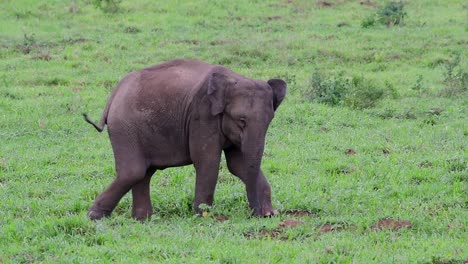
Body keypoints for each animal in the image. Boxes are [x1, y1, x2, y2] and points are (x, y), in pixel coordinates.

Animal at [84, 58, 288, 221]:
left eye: (270, 120)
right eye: (241, 120)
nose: (257, 213)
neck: (232, 79)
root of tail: (114, 93)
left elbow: (238, 165)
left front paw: (270, 213)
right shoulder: (202, 115)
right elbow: (208, 161)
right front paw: (203, 216)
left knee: (144, 172)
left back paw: (142, 219)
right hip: (125, 126)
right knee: (133, 171)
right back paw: (94, 216)